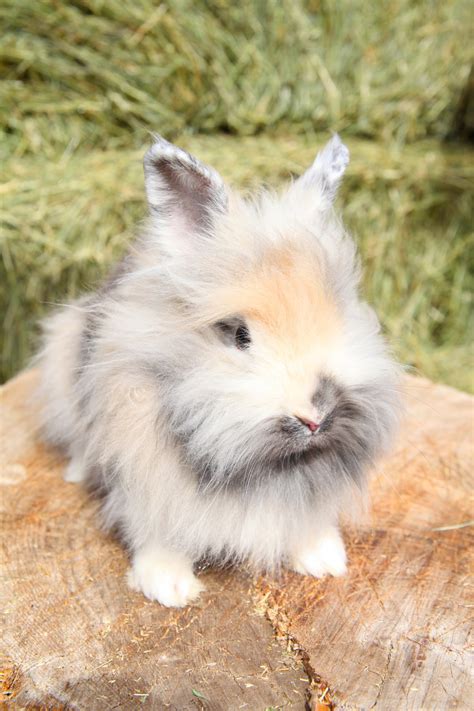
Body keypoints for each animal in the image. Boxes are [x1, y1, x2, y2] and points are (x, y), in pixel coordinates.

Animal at [35, 134, 401, 607]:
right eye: (239, 335)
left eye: (339, 316)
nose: (316, 416)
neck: (260, 470)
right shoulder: (145, 473)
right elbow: (156, 528)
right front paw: (169, 586)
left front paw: (324, 559)